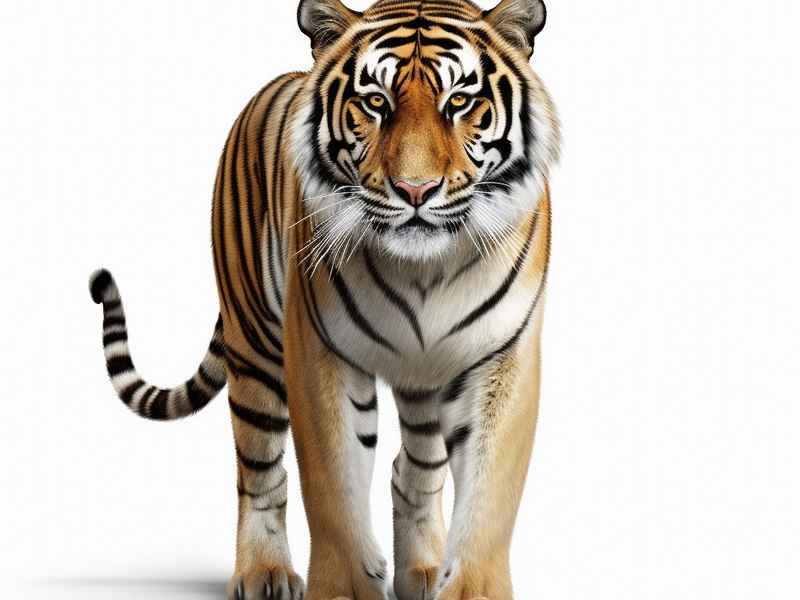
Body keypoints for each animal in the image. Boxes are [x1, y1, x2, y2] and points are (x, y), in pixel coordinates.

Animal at [88, 1, 559, 598]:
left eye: (459, 101)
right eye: (376, 101)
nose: (415, 190)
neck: (425, 271)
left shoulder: (502, 355)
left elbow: (491, 492)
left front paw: (469, 587)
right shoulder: (319, 350)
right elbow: (332, 484)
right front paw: (344, 587)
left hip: (425, 374)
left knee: (415, 467)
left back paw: (422, 570)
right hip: (254, 347)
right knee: (260, 471)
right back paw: (264, 572)